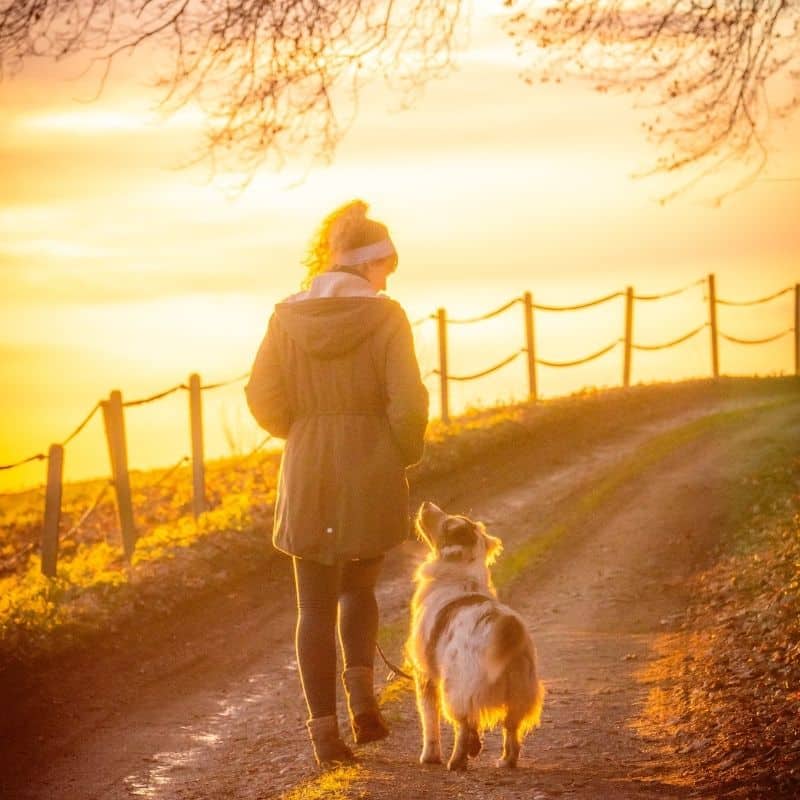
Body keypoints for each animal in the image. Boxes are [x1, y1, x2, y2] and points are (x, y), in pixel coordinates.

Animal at [406, 504, 544, 772]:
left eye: (447, 524)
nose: (426, 504)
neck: (460, 576)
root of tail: (507, 625)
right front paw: (475, 747)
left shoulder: (424, 675)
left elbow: (430, 720)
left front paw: (430, 756)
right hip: (519, 693)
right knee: (511, 731)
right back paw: (505, 761)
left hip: (456, 688)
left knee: (462, 724)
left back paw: (456, 761)